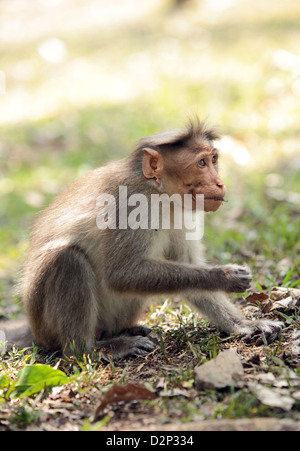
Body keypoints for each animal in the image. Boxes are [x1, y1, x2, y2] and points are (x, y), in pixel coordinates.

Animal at [0, 119, 284, 360]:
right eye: (202, 163)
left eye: (214, 159)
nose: (220, 183)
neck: (158, 191)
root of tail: (33, 329)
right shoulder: (128, 203)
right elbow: (121, 274)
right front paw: (223, 276)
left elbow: (188, 268)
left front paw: (244, 324)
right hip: (44, 322)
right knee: (68, 259)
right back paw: (91, 349)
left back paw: (123, 332)